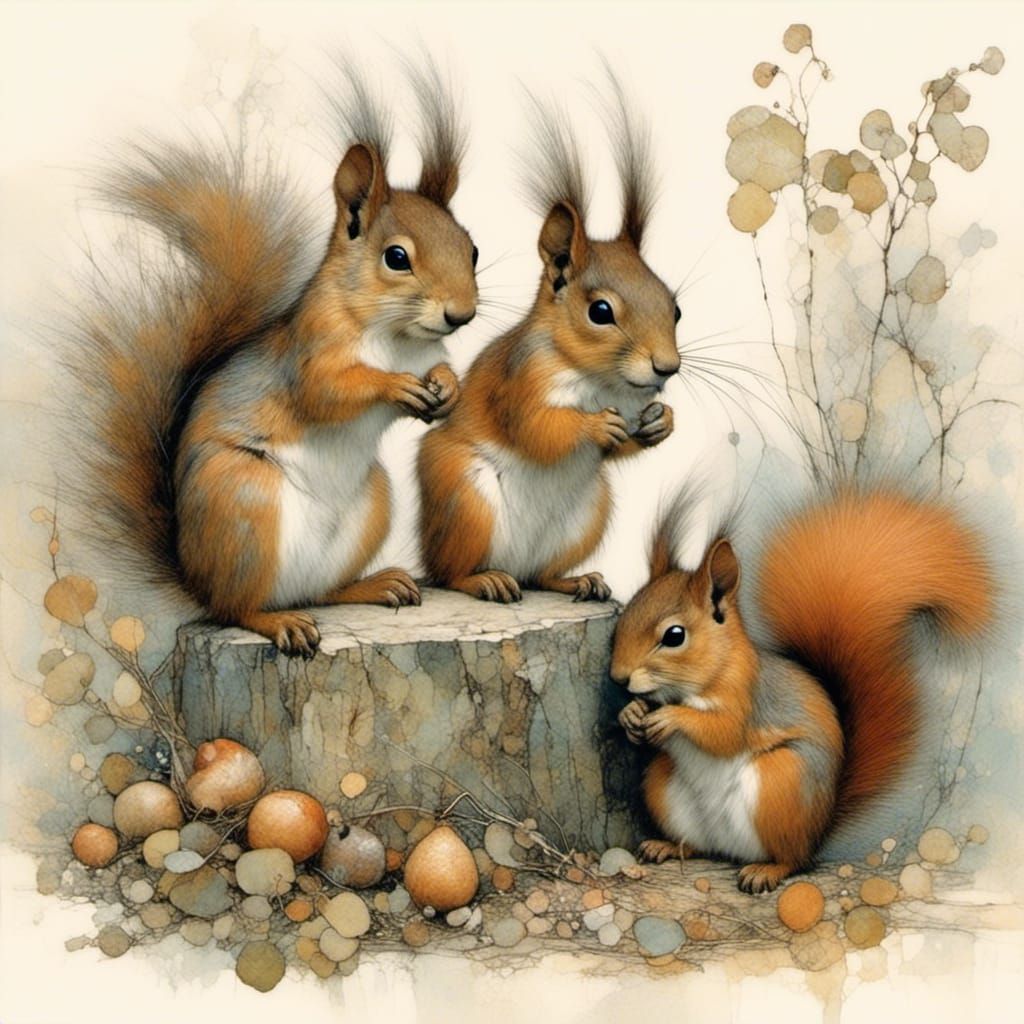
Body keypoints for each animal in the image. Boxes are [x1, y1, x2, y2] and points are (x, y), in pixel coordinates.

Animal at [63, 59, 478, 656]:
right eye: (396, 257)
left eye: (472, 249)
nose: (461, 314)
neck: (398, 338)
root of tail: (195, 577)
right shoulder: (310, 349)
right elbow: (327, 392)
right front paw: (395, 387)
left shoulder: (429, 351)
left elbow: (442, 369)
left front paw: (447, 390)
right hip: (243, 501)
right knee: (239, 607)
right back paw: (278, 622)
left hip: (370, 504)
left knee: (319, 591)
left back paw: (376, 585)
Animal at [417, 75, 680, 604]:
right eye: (600, 312)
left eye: (675, 308)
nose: (668, 367)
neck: (601, 381)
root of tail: (515, 565)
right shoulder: (520, 378)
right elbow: (536, 428)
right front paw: (595, 426)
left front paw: (661, 422)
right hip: (464, 496)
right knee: (451, 572)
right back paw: (485, 580)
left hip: (588, 516)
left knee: (542, 575)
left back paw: (579, 580)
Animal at [610, 484, 994, 893]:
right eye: (625, 613)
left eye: (674, 636)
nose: (618, 677)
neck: (696, 683)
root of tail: (818, 834)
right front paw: (631, 713)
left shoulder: (747, 697)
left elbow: (724, 734)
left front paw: (669, 718)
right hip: (663, 787)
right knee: (702, 847)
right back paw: (666, 846)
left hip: (782, 781)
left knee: (793, 860)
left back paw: (766, 870)